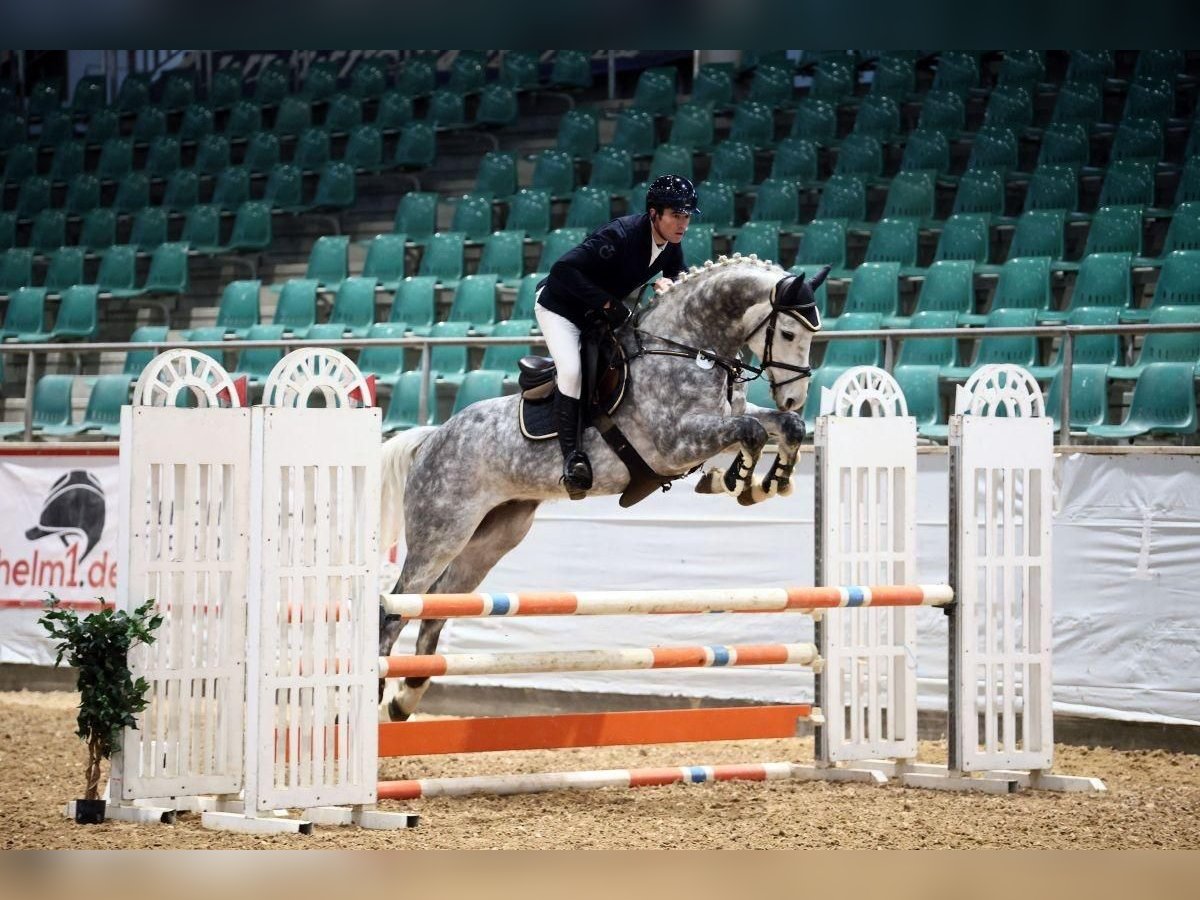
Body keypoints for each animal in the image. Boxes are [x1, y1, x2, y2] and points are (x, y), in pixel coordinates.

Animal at [374, 256, 825, 724]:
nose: (796, 397)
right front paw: (736, 479)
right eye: (788, 333)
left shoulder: (725, 419)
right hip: (442, 531)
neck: (689, 350)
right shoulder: (676, 442)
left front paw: (767, 482)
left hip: (493, 537)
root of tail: (432, 437)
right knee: (397, 606)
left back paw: (408, 696)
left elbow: (779, 427)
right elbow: (750, 431)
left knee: (436, 606)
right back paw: (379, 690)